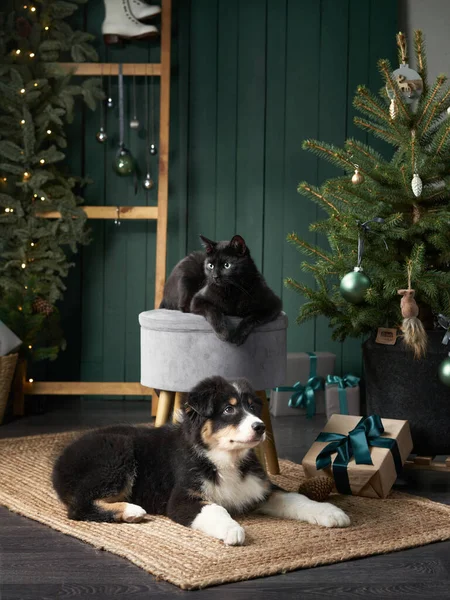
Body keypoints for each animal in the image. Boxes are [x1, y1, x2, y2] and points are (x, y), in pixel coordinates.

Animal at [51, 378, 348, 548]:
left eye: (253, 408)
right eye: (228, 409)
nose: (260, 427)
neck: (225, 459)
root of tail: (61, 458)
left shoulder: (260, 488)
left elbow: (297, 498)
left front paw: (332, 513)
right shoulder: (182, 497)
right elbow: (215, 508)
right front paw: (232, 529)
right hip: (117, 453)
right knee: (78, 507)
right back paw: (132, 510)